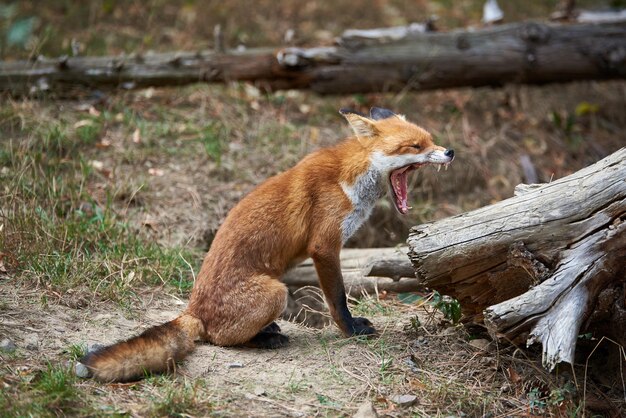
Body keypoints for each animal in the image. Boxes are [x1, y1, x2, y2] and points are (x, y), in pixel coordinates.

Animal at [81, 108, 454, 382]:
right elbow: (337, 299)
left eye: (430, 140)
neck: (352, 176)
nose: (450, 151)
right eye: (414, 146)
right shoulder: (324, 246)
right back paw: (266, 338)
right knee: (218, 338)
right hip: (276, 292)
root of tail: (192, 311)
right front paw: (350, 330)